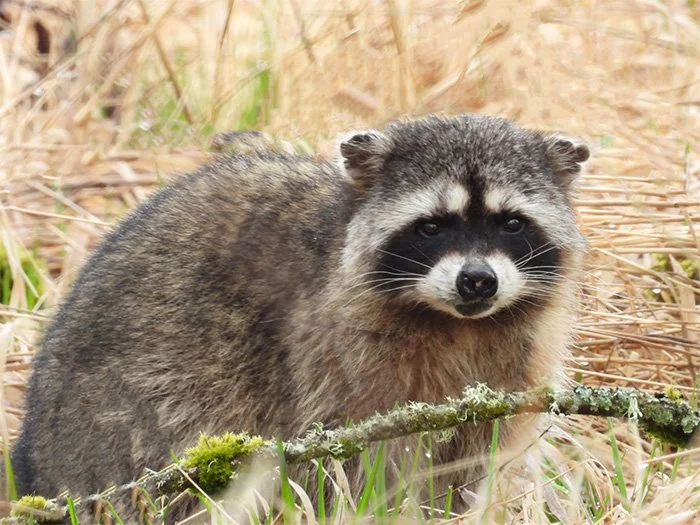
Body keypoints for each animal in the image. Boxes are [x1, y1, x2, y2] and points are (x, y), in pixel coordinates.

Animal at [11, 114, 589, 519]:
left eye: (511, 223)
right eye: (430, 227)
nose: (477, 280)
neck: (458, 322)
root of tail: (37, 456)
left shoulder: (508, 370)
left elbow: (462, 461)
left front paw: (444, 511)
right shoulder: (333, 358)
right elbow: (347, 461)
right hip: (133, 402)